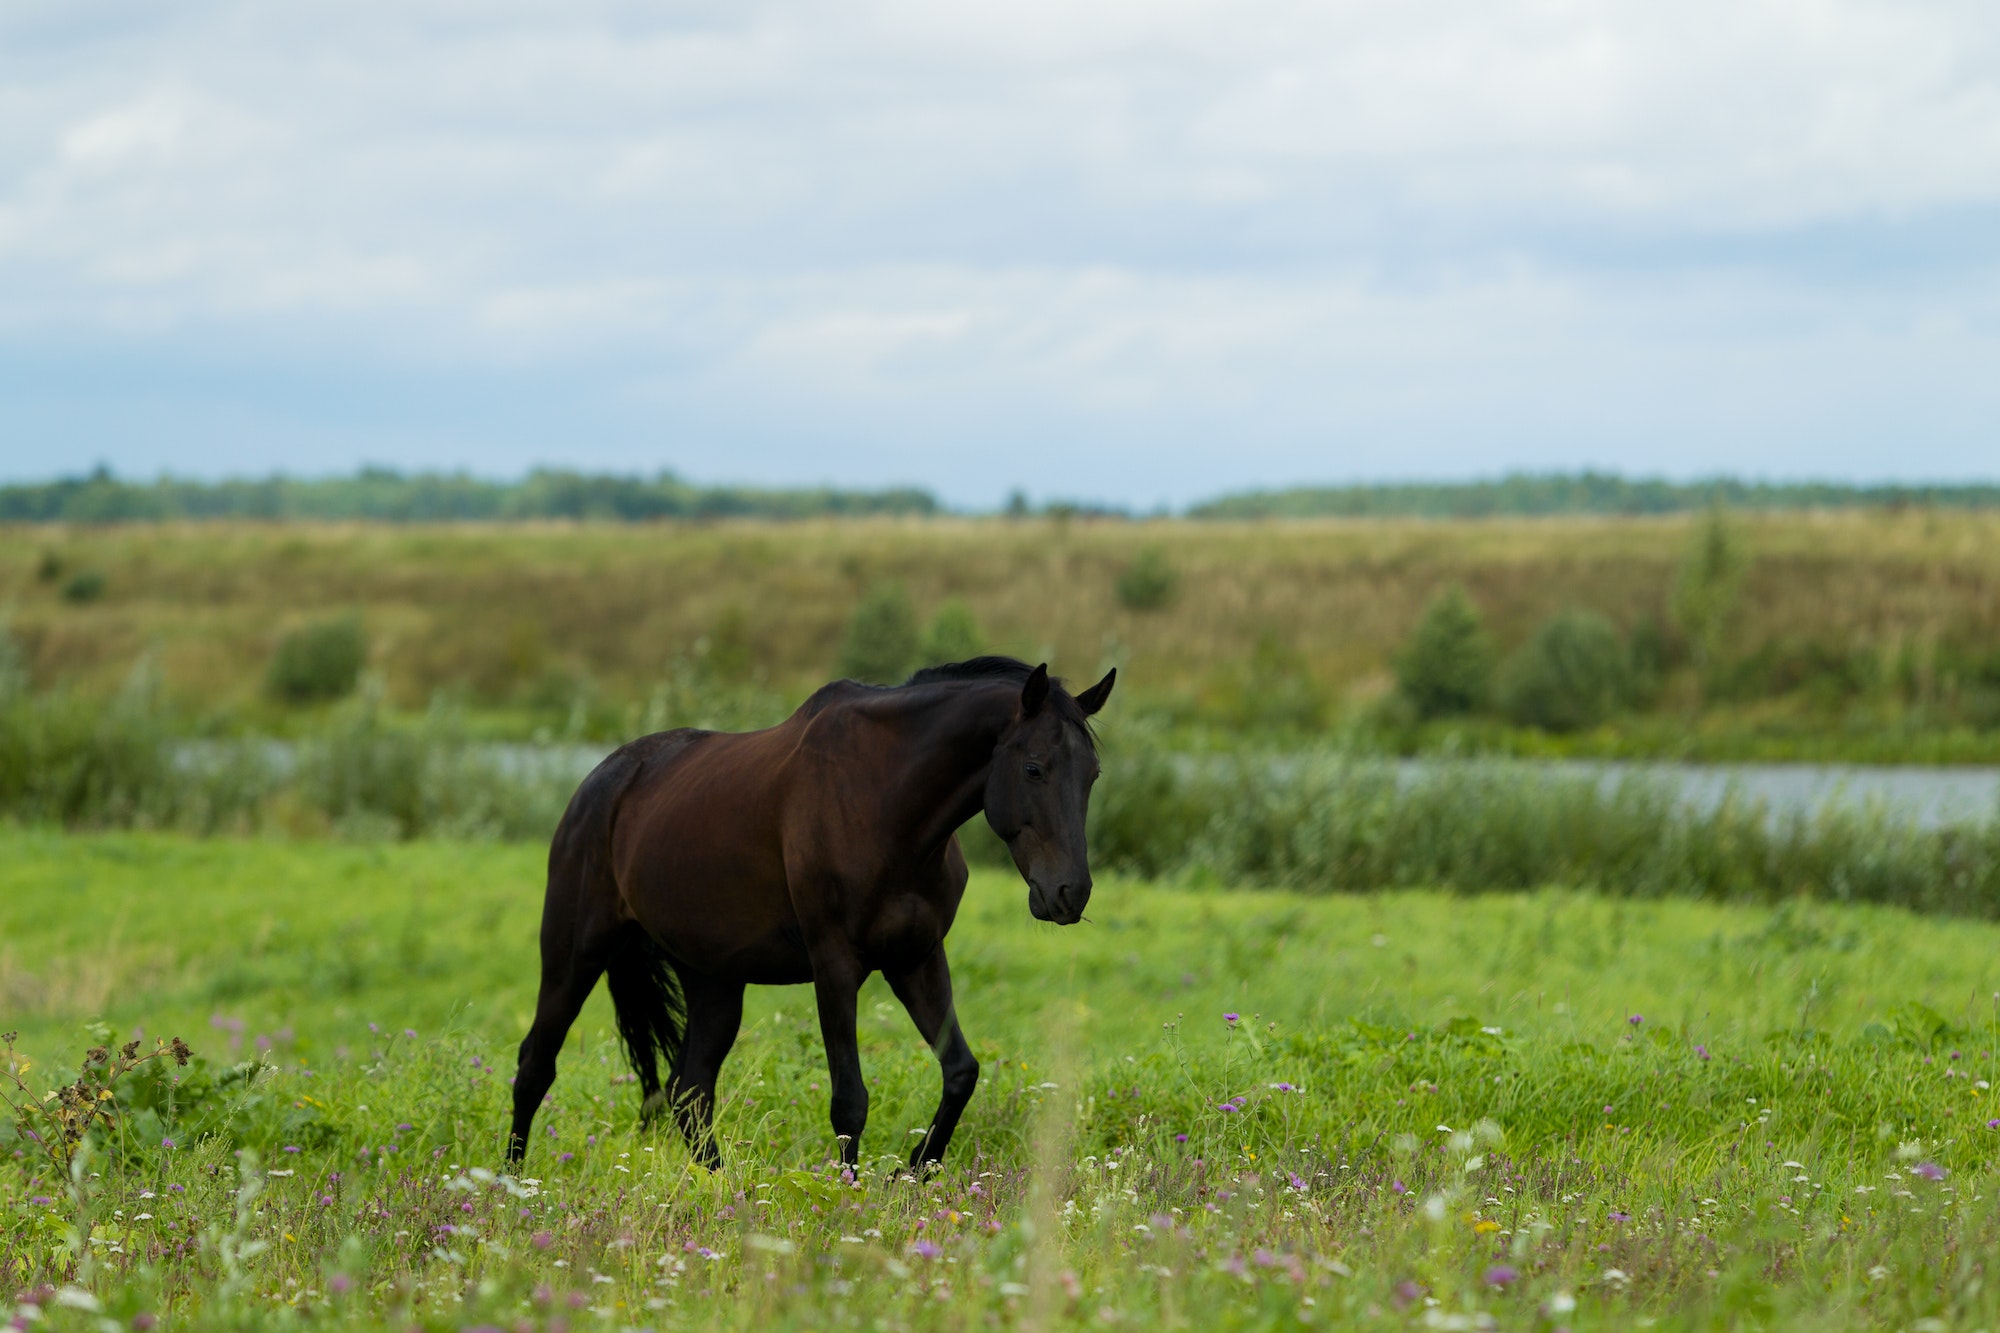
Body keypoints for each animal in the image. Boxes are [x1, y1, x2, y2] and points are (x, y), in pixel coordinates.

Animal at [508, 652, 1120, 1160]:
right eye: (1034, 768)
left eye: (1092, 775)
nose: (1070, 893)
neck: (883, 802)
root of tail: (602, 781)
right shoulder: (836, 964)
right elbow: (850, 1101)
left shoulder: (917, 958)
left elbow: (961, 1072)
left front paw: (915, 1173)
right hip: (574, 954)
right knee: (536, 1065)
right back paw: (513, 1185)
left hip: (713, 978)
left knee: (690, 1087)